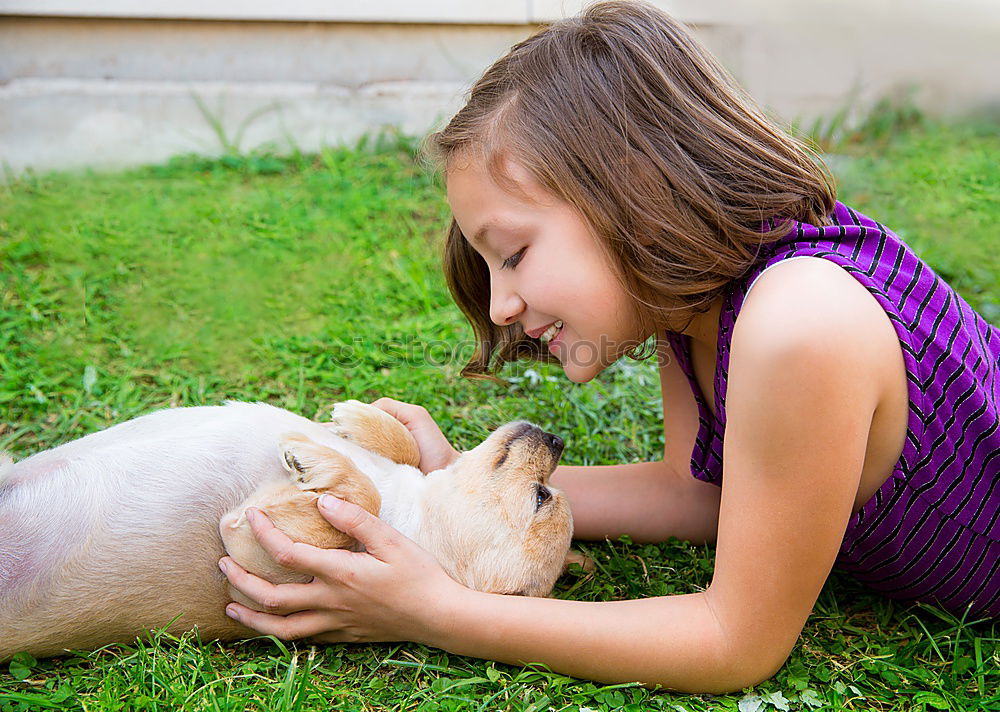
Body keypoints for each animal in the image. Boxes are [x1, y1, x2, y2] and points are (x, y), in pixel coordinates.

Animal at [0, 404, 572, 660]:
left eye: (541, 497)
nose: (556, 438)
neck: (412, 515)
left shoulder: (251, 544)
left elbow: (360, 499)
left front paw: (316, 461)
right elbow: (404, 448)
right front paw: (360, 420)